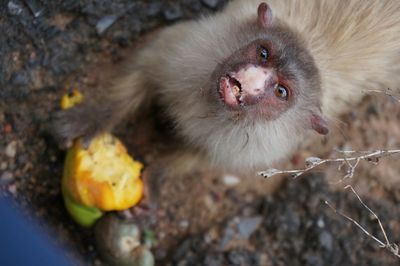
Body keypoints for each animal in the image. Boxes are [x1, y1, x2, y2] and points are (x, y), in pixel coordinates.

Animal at [53, 0, 400, 172]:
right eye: (263, 53)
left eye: (281, 91)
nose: (248, 82)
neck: (211, 103)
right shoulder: (183, 51)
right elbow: (144, 68)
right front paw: (91, 119)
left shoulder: (255, 148)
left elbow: (203, 160)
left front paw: (154, 177)